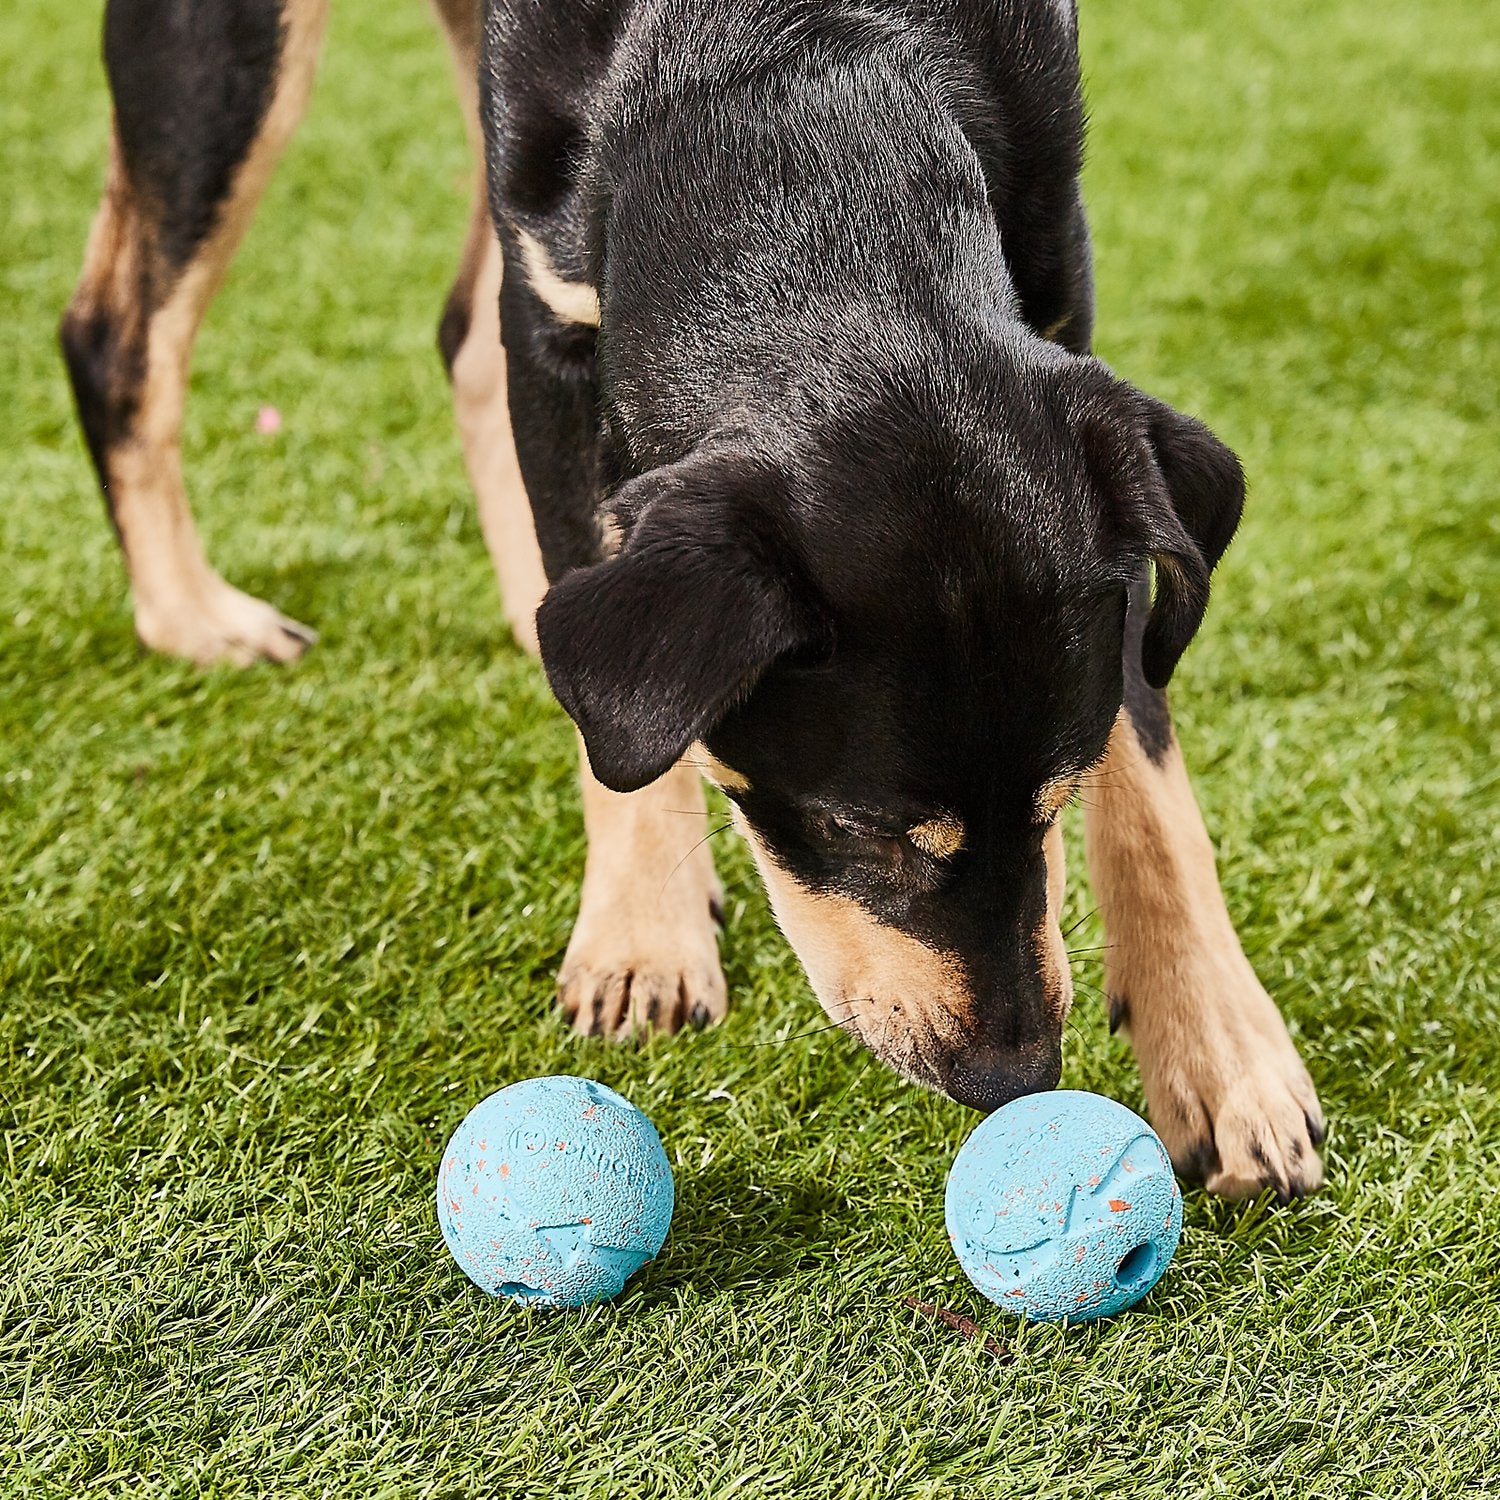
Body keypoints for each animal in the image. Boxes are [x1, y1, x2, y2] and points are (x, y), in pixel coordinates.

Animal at [61, 0, 1326, 1194]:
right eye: (855, 832)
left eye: (1056, 799)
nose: (1014, 1076)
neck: (789, 83)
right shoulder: (556, 318)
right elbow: (610, 672)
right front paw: (644, 940)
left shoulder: (1062, 295)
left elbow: (1147, 756)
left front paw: (1225, 1056)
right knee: (116, 333)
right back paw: (192, 612)